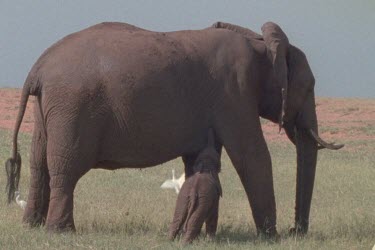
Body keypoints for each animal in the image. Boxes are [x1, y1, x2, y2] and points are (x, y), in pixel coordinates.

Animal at [5, 21, 344, 236]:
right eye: (309, 87)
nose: (296, 230)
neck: (258, 42)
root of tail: (38, 68)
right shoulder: (234, 92)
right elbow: (253, 155)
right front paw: (271, 238)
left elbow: (201, 160)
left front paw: (207, 236)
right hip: (72, 107)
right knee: (66, 168)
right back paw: (61, 232)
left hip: (48, 108)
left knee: (39, 164)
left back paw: (32, 227)